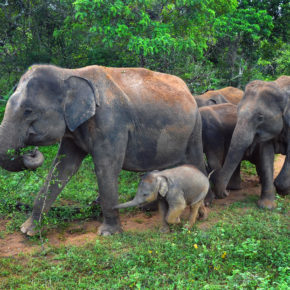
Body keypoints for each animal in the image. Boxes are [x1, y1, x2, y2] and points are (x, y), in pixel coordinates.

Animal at [0, 64, 206, 236]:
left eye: (28, 111)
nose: (31, 151)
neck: (68, 73)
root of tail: (188, 90)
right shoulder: (73, 129)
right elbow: (62, 168)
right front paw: (28, 231)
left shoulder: (111, 123)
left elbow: (105, 168)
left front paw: (108, 233)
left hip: (195, 127)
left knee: (195, 160)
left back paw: (202, 212)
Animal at [213, 75, 290, 208]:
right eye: (237, 111)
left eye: (260, 117)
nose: (226, 192)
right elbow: (265, 156)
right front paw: (266, 206)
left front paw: (282, 191)